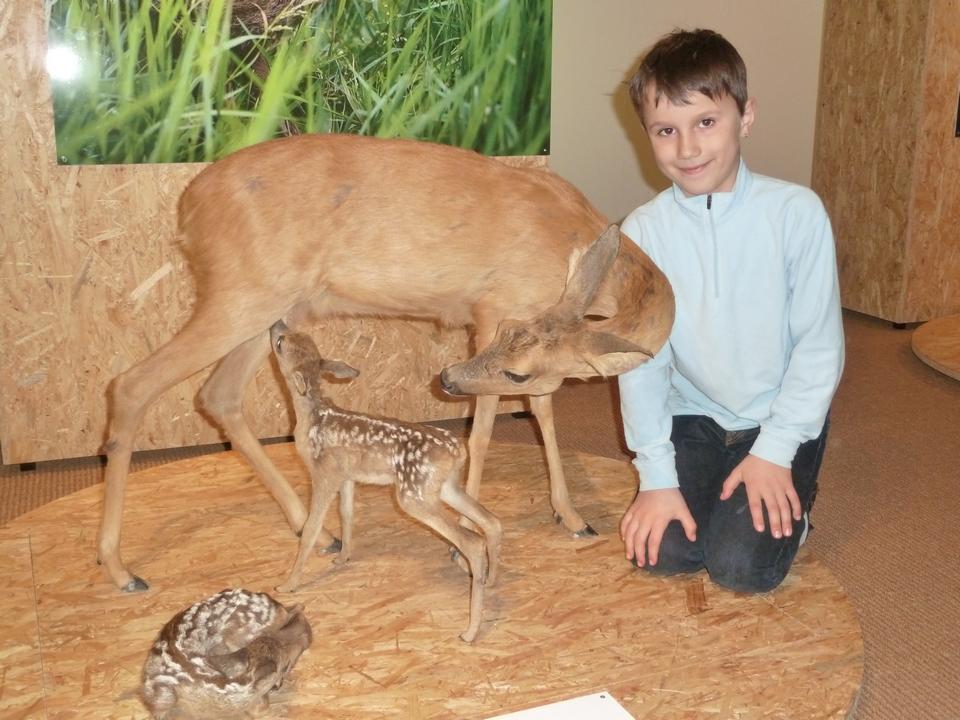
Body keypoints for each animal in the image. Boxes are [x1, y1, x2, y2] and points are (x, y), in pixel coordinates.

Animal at [98, 133, 675, 595]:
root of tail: (189, 206)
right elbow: (484, 430)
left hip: (270, 311)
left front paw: (572, 516)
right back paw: (121, 569)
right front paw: (464, 539)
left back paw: (319, 532)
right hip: (241, 296)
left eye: (519, 363)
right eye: (511, 348)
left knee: (218, 395)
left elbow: (542, 412)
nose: (443, 380)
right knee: (132, 384)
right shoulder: (492, 315)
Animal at [268, 320, 500, 642]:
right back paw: (490, 582)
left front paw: (288, 584)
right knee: (491, 521)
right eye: (296, 335)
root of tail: (457, 450)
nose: (276, 323)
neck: (312, 416)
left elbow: (310, 529)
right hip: (444, 487)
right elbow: (347, 514)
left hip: (412, 495)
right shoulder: (347, 475)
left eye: (281, 344)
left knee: (473, 541)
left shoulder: (324, 473)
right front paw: (343, 558)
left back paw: (469, 631)